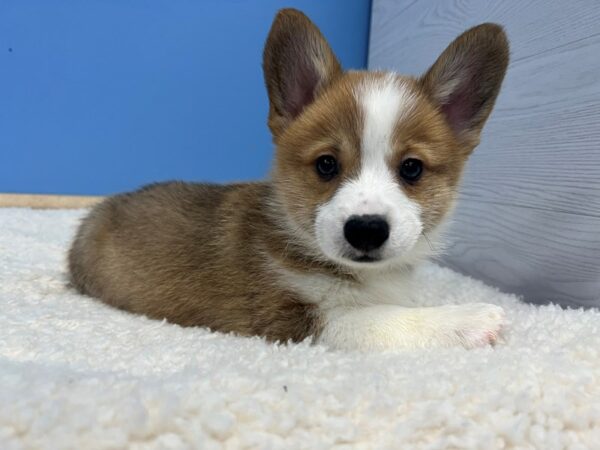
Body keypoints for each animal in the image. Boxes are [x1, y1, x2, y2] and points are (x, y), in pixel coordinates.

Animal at [70, 7, 510, 352]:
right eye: (326, 165)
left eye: (412, 168)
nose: (366, 230)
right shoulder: (290, 319)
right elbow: (380, 318)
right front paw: (466, 318)